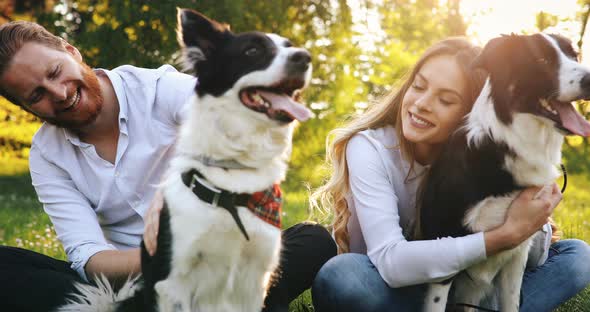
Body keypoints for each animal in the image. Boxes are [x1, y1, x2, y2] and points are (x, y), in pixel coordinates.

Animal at [60, 7, 314, 312]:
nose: (305, 57)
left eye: (289, 46)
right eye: (253, 50)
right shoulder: (173, 283)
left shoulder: (255, 280)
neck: (232, 181)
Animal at [418, 33, 590, 310]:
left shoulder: (518, 253)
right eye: (542, 60)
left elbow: (511, 302)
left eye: (574, 56)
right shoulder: (441, 242)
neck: (503, 144)